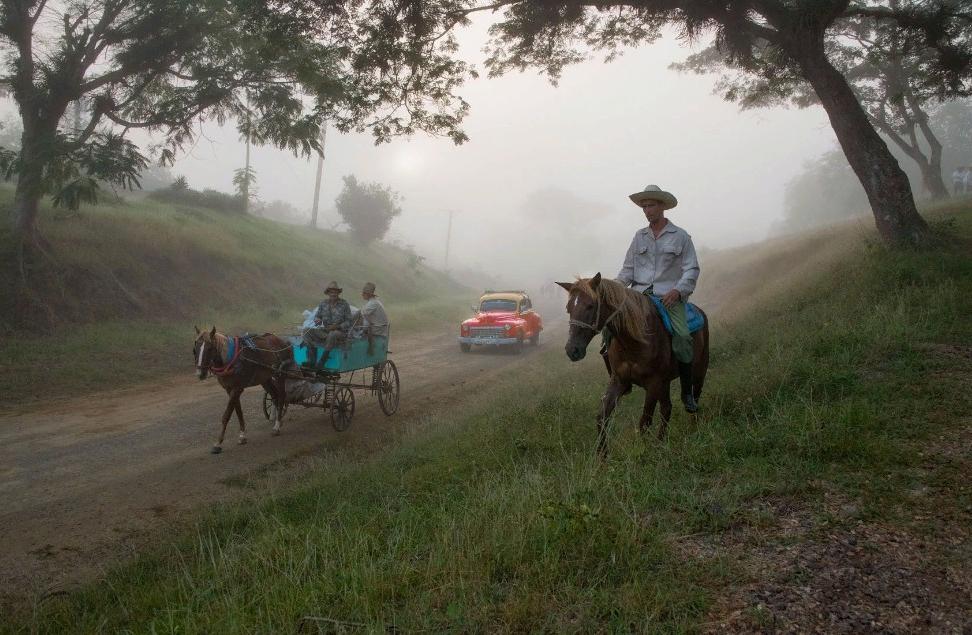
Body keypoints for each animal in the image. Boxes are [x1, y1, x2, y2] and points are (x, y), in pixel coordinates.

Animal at [560, 274, 712, 458]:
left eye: (590, 305)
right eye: (568, 308)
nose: (572, 350)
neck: (635, 340)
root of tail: (700, 312)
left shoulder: (653, 384)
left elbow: (644, 421)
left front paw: (642, 452)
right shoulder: (619, 381)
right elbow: (602, 416)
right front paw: (602, 456)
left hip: (699, 371)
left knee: (694, 397)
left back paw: (692, 427)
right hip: (665, 383)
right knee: (667, 408)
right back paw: (661, 443)